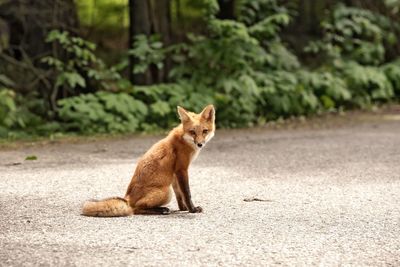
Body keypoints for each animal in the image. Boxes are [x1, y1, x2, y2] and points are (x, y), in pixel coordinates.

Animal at [81, 104, 216, 218]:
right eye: (192, 132)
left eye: (205, 131)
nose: (200, 144)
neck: (184, 140)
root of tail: (127, 198)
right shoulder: (181, 169)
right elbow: (187, 193)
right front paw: (192, 209)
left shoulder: (174, 174)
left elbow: (180, 194)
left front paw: (183, 208)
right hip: (166, 192)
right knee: (135, 209)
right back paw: (162, 210)